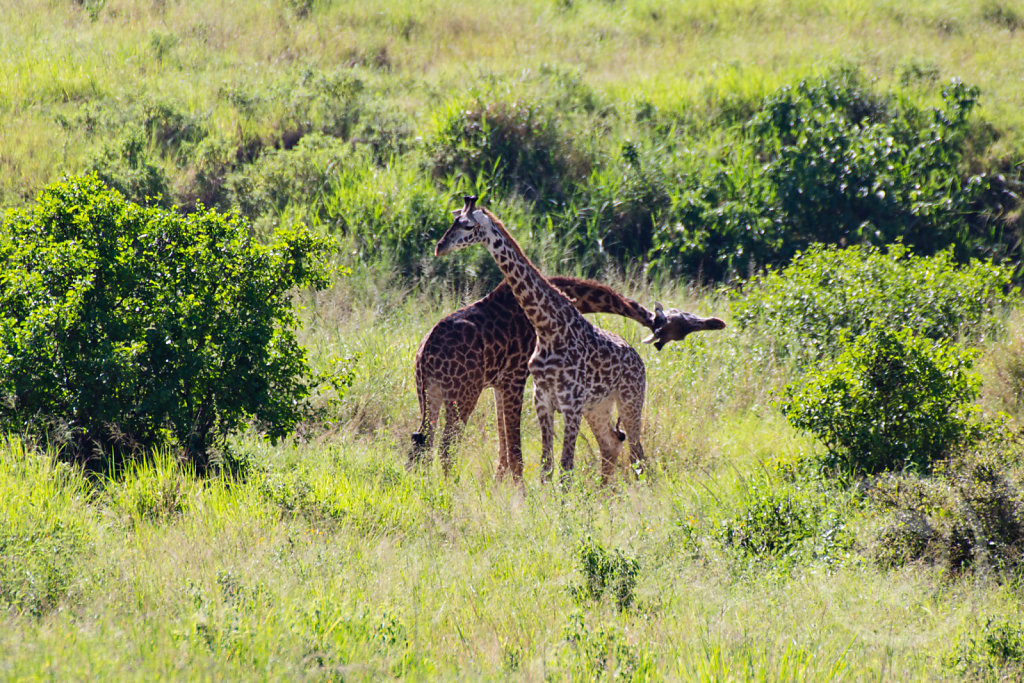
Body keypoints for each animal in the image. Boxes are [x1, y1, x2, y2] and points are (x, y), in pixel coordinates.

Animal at [409, 274, 729, 479]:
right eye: (685, 325)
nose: (718, 322)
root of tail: (425, 354)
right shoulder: (516, 378)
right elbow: (514, 450)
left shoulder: (501, 383)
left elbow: (504, 447)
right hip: (462, 394)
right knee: (446, 447)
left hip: (429, 393)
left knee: (420, 443)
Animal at [432, 194, 647, 483]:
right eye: (452, 222)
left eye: (467, 226)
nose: (440, 247)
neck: (548, 328)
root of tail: (639, 361)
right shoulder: (543, 401)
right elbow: (547, 467)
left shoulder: (571, 404)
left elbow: (566, 469)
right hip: (598, 408)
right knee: (611, 445)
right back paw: (605, 492)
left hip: (630, 401)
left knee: (638, 456)